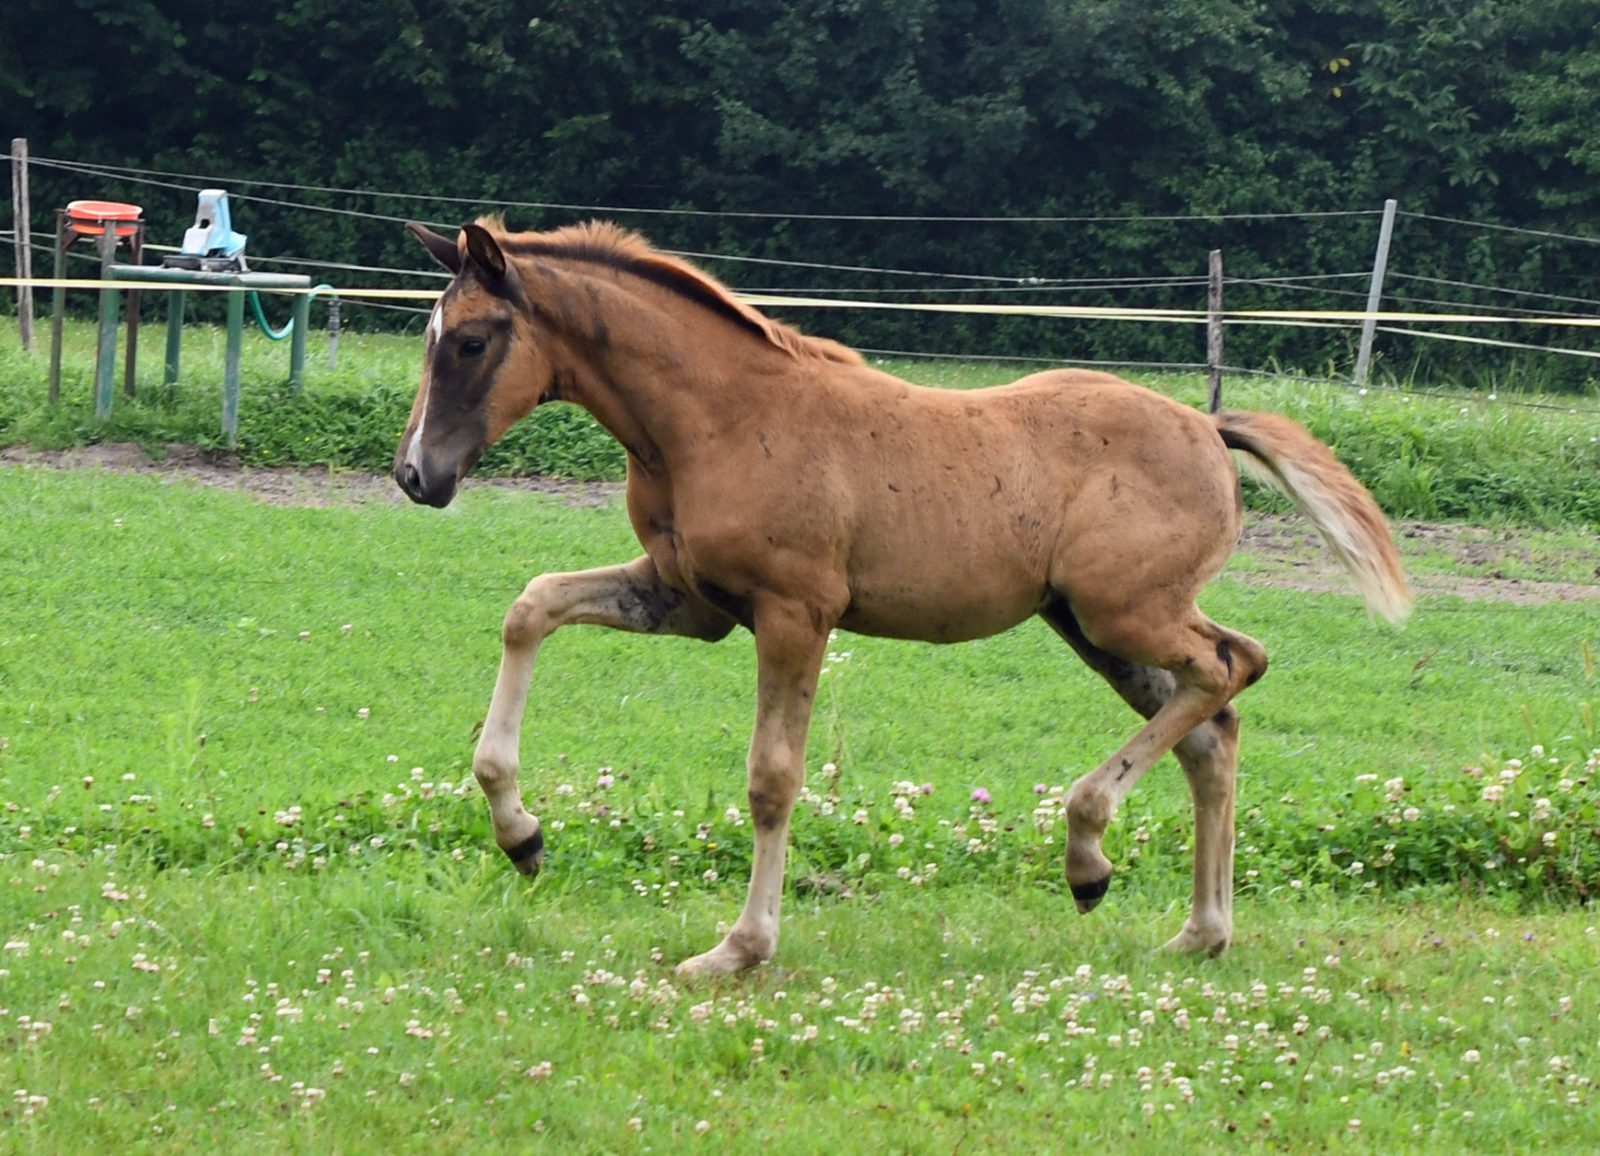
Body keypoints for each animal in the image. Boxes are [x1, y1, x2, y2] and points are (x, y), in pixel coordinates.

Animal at [394, 217, 1412, 976]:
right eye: (430, 337)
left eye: (473, 341)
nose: (416, 476)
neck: (720, 419)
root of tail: (1209, 426)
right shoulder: (692, 600)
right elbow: (532, 606)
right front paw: (521, 834)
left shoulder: (794, 613)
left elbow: (773, 779)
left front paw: (739, 949)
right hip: (1092, 626)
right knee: (1212, 725)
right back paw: (1195, 929)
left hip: (1124, 611)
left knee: (1233, 664)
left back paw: (1089, 850)